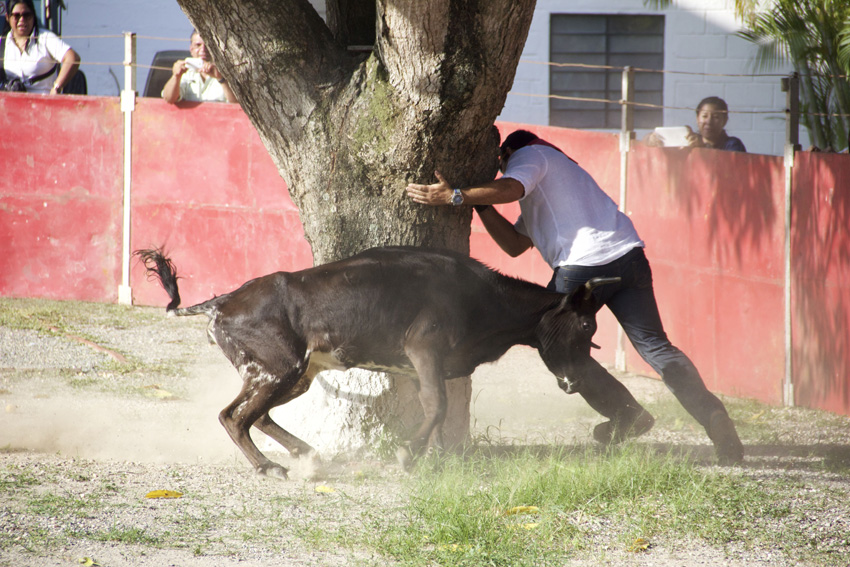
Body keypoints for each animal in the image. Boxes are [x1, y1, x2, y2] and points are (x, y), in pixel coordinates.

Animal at [136, 246, 620, 478]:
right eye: (586, 326)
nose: (575, 383)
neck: (485, 299)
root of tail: (222, 301)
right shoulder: (425, 350)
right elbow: (438, 406)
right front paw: (409, 455)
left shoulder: (425, 365)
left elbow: (437, 410)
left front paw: (434, 458)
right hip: (278, 368)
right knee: (235, 416)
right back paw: (271, 467)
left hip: (290, 374)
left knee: (256, 415)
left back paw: (306, 453)